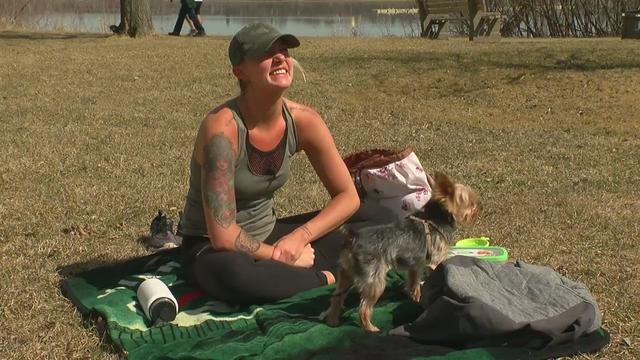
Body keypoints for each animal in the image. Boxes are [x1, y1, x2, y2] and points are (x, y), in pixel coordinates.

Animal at [324, 172, 480, 332]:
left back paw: (332, 321)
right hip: (374, 279)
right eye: (470, 201)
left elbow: (413, 283)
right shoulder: (434, 262)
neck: (435, 218)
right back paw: (371, 328)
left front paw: (415, 299)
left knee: (336, 297)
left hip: (346, 273)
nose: (479, 207)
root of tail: (353, 237)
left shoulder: (415, 266)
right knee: (364, 308)